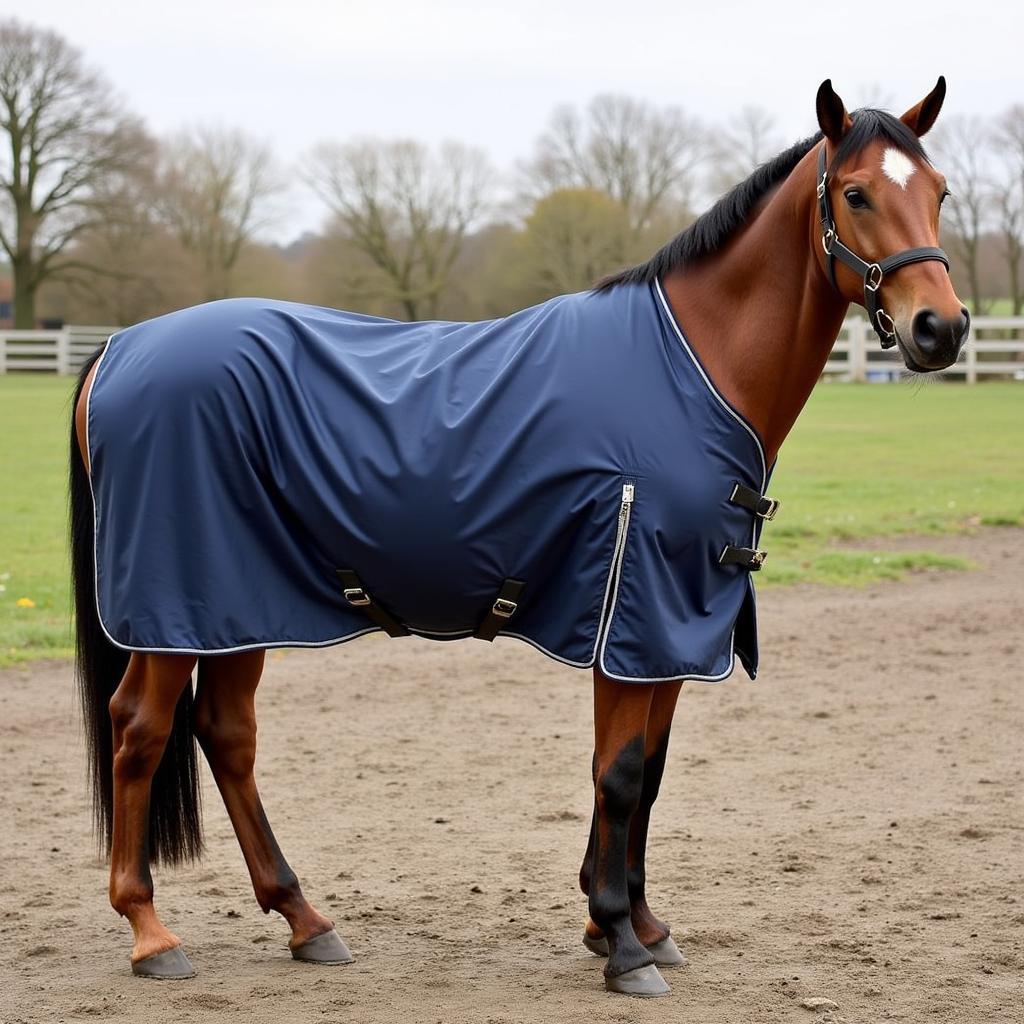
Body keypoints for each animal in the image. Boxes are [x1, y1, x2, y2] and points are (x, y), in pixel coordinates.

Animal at [70, 79, 966, 999]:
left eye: (937, 193)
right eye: (856, 194)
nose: (943, 328)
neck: (695, 368)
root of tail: (120, 347)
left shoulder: (675, 629)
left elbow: (649, 776)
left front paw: (637, 924)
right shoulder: (630, 618)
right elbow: (620, 774)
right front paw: (621, 942)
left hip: (238, 608)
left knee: (227, 735)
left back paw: (304, 918)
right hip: (176, 613)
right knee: (139, 730)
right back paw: (150, 930)